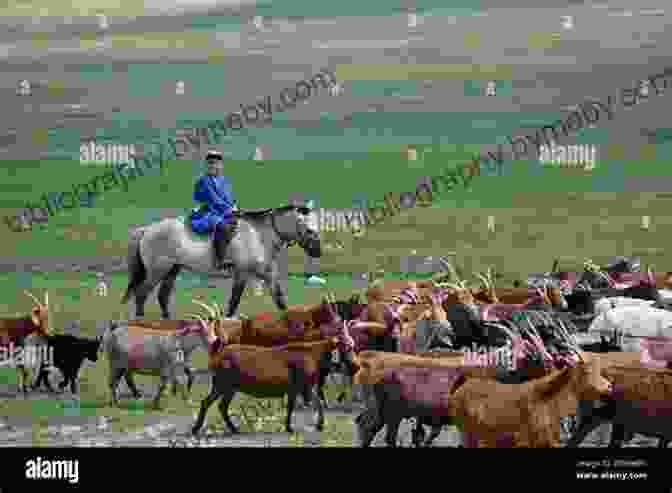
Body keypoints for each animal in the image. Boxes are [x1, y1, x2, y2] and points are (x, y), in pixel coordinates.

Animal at [122, 205, 322, 318]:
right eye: (309, 230)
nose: (317, 252)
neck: (259, 235)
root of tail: (147, 229)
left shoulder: (268, 273)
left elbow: (279, 299)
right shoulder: (241, 273)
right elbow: (234, 300)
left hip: (172, 270)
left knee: (162, 295)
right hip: (158, 271)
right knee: (142, 293)